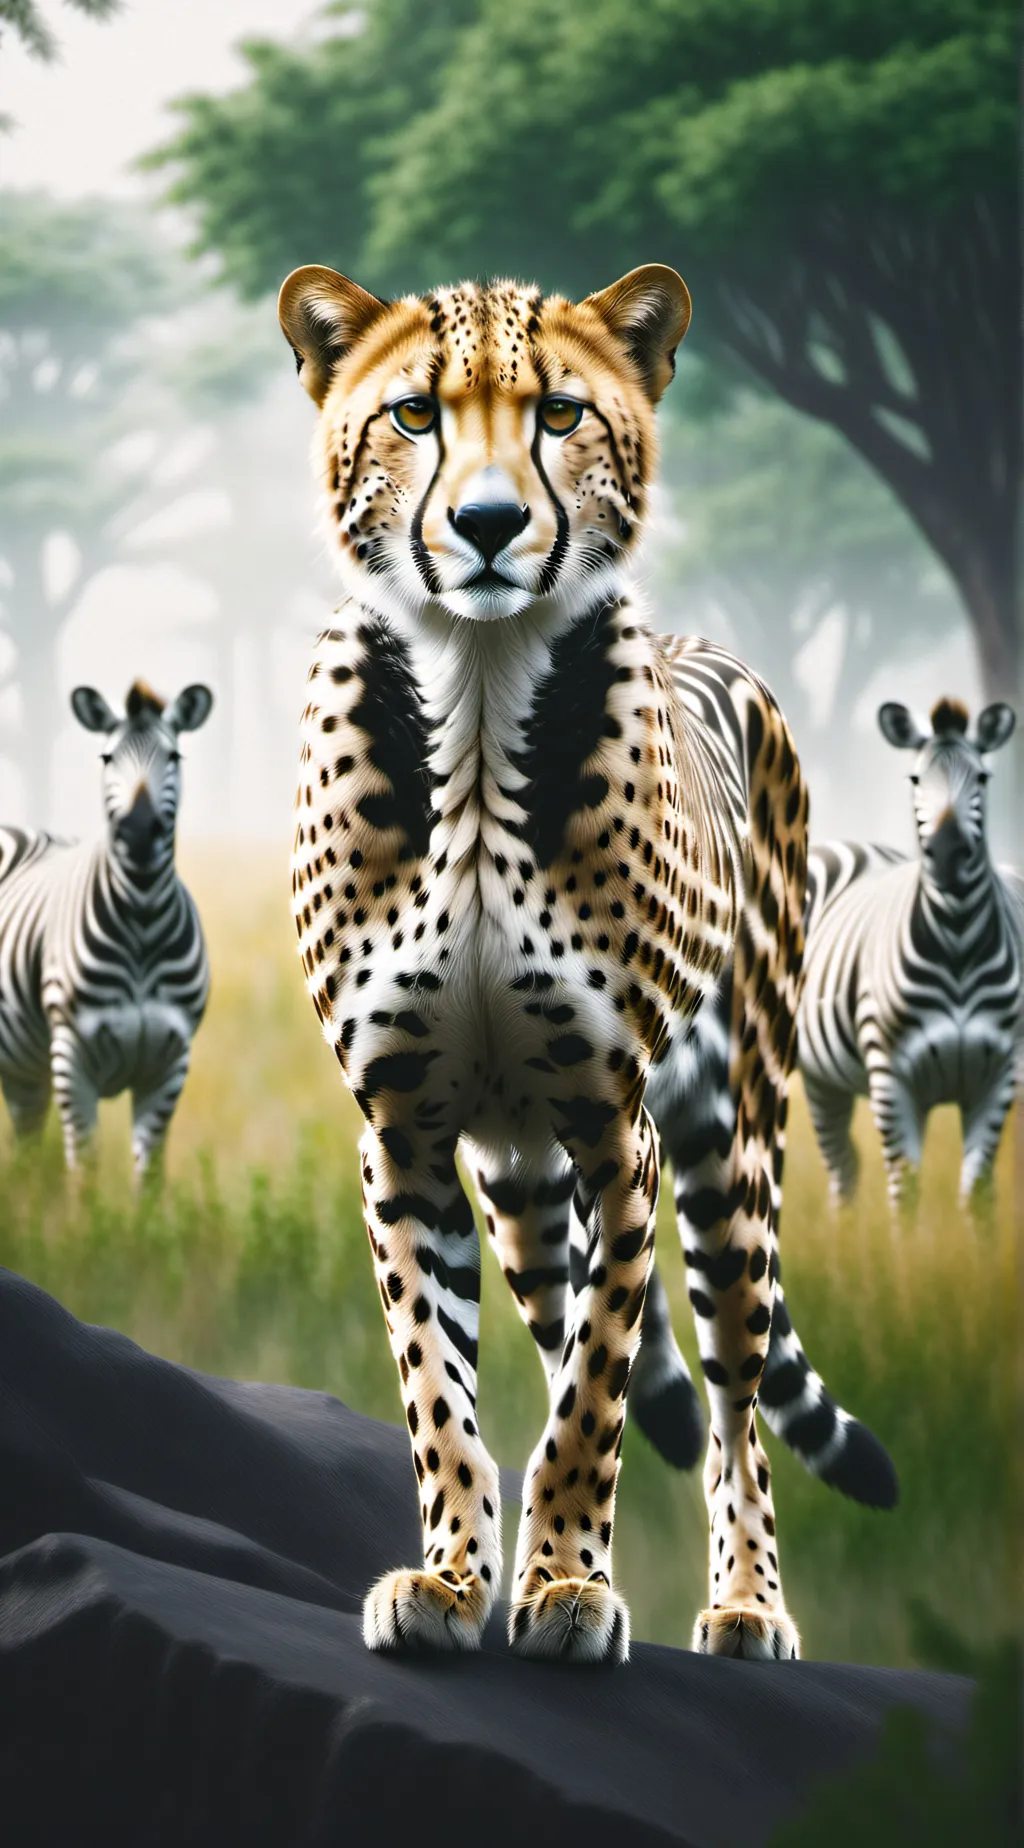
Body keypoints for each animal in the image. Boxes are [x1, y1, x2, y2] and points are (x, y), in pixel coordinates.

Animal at [0, 679, 213, 1180]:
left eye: (173, 756)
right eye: (107, 758)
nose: (138, 832)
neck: (143, 923)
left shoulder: (169, 1065)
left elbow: (149, 1180)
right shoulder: (72, 1058)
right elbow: (86, 1175)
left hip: (25, 1072)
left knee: (26, 1152)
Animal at [797, 695, 1019, 1208]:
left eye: (982, 777)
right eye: (916, 780)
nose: (948, 853)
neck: (958, 943)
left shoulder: (998, 1077)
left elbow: (977, 1192)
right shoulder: (891, 1076)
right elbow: (906, 1190)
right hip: (817, 1074)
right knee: (842, 1170)